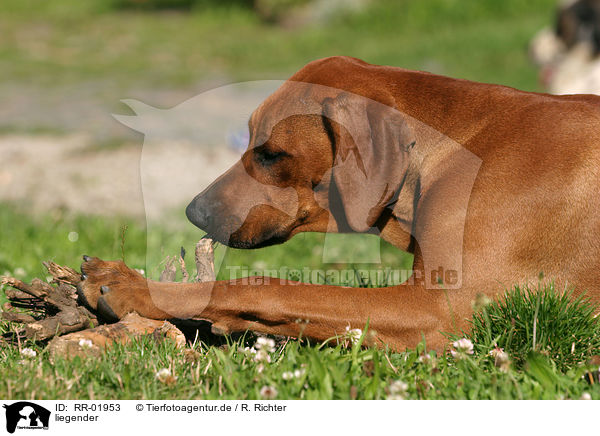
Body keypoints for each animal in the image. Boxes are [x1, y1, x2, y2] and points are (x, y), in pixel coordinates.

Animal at [77, 57, 600, 350]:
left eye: (271, 154)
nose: (194, 211)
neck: (459, 144)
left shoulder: (443, 309)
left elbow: (266, 287)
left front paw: (137, 288)